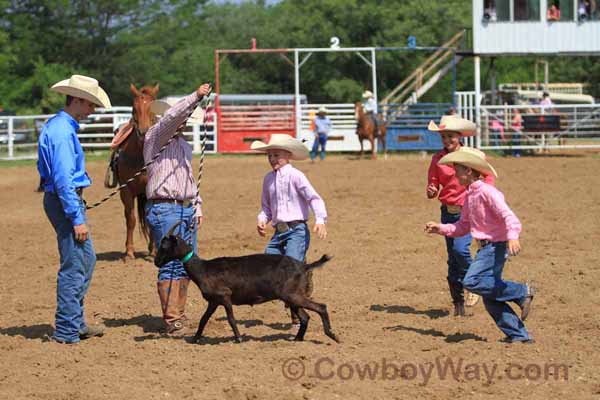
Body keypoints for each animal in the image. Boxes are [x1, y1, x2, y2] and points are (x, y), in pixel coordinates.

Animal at [108, 84, 159, 260]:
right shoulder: (126, 190)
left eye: (153, 108)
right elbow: (130, 219)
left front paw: (155, 250)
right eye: (133, 109)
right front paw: (129, 251)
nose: (144, 132)